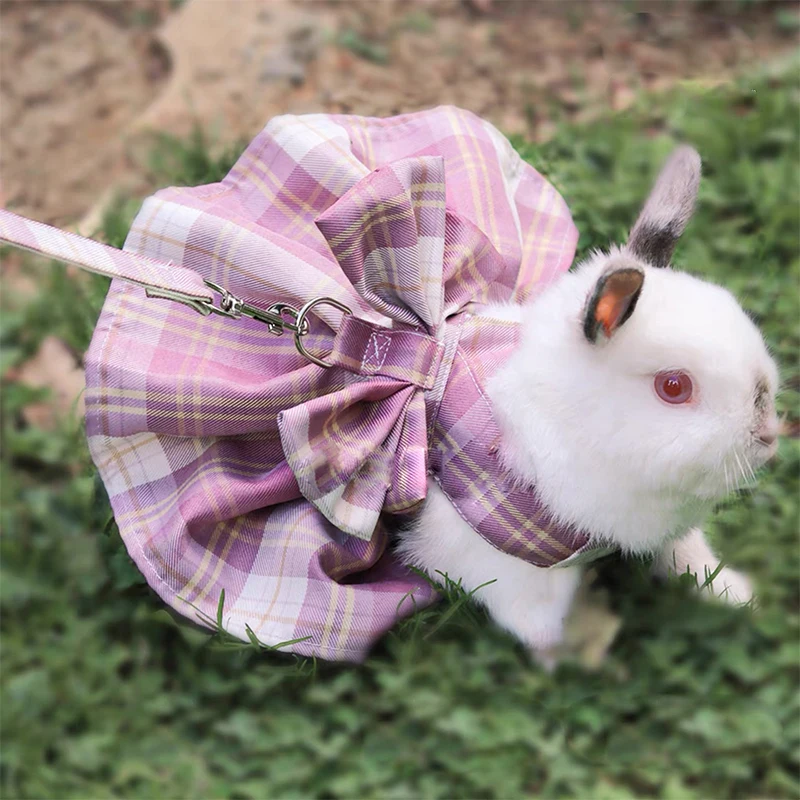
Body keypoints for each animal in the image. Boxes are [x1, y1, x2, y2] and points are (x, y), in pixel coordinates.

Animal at [396, 146, 779, 666]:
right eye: (674, 387)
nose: (768, 433)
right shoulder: (502, 569)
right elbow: (539, 627)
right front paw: (589, 654)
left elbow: (691, 558)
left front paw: (741, 595)